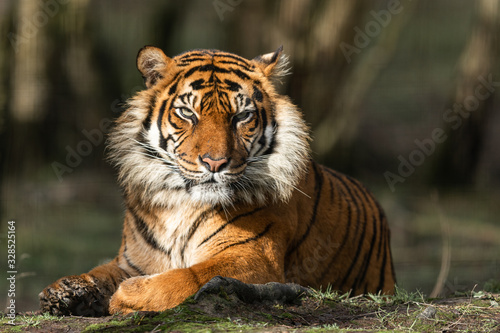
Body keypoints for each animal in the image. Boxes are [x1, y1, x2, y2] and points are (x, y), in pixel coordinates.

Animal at [40, 45, 394, 316]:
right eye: (187, 113)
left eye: (242, 116)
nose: (215, 163)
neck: (179, 201)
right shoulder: (132, 260)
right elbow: (99, 272)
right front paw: (65, 291)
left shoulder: (253, 258)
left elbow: (188, 276)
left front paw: (127, 297)